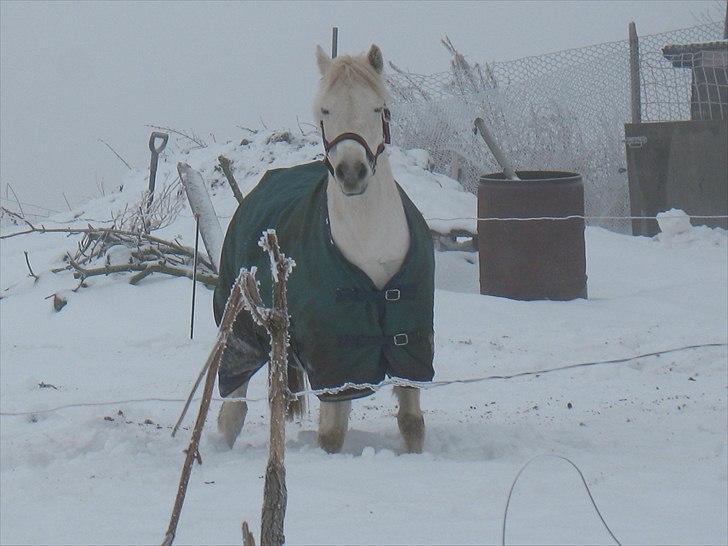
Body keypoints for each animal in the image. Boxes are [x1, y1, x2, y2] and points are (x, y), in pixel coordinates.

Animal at [219, 43, 430, 450]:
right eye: (325, 111)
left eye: (378, 108)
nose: (351, 173)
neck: (369, 243)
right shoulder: (334, 356)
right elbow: (331, 435)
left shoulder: (409, 344)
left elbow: (412, 422)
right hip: (240, 328)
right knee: (231, 407)